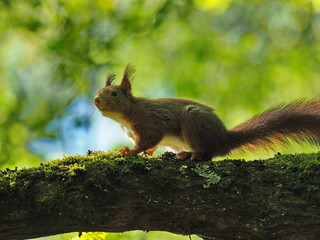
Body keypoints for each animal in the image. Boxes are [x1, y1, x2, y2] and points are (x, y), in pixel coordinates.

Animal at [94, 64, 320, 160]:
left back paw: (192, 154)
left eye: (114, 93)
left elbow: (149, 139)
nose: (96, 100)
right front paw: (146, 154)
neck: (126, 115)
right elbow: (150, 146)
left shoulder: (149, 122)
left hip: (193, 121)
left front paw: (129, 151)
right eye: (99, 92)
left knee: (208, 154)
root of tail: (223, 139)